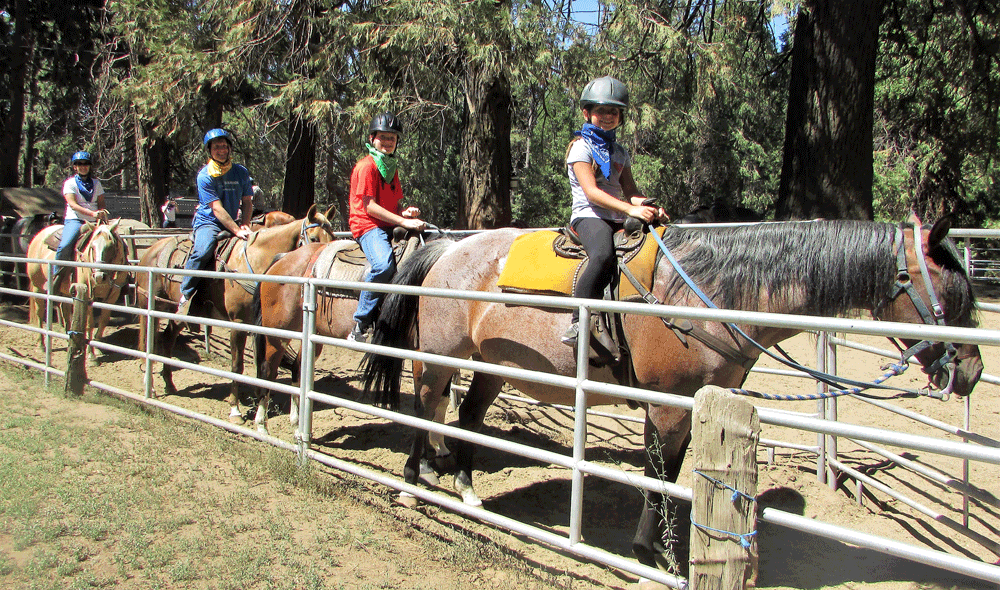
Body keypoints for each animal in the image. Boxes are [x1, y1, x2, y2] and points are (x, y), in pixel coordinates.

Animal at [25, 221, 129, 360]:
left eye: (111, 246)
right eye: (92, 247)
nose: (99, 277)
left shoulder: (112, 296)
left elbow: (103, 321)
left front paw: (98, 348)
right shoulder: (88, 295)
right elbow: (90, 323)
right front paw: (91, 354)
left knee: (65, 312)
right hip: (37, 287)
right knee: (39, 313)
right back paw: (41, 345)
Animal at [133, 206, 338, 424]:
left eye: (333, 236)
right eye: (314, 238)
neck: (255, 262)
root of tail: (151, 250)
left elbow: (264, 366)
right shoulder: (238, 324)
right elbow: (237, 367)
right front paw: (235, 411)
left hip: (179, 313)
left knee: (167, 338)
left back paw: (169, 384)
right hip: (150, 305)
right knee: (147, 339)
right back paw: (149, 386)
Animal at [362, 217, 984, 572]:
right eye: (950, 293)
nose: (973, 371)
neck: (705, 293)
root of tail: (447, 250)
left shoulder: (692, 408)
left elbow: (674, 473)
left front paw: (657, 547)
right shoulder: (666, 405)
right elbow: (659, 474)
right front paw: (653, 554)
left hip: (493, 365)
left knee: (466, 416)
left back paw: (466, 491)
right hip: (440, 358)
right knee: (426, 408)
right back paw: (414, 485)